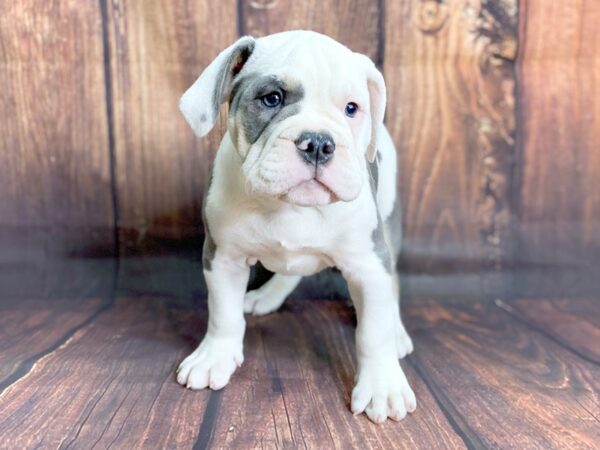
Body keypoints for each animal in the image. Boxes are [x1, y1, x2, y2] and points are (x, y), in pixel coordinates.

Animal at [176, 29, 414, 424]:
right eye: (272, 99)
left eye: (352, 108)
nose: (318, 142)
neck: (290, 207)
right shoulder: (222, 258)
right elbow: (223, 313)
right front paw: (214, 357)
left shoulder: (370, 264)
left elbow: (373, 332)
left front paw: (382, 384)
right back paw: (267, 296)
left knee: (392, 286)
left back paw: (397, 331)